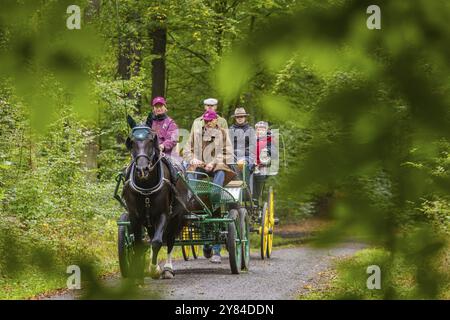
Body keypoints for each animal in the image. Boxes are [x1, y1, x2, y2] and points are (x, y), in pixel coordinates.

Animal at [121, 119, 188, 278]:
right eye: (132, 141)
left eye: (151, 140)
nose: (142, 169)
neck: (146, 187)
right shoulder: (134, 216)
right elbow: (139, 244)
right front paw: (139, 271)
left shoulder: (163, 214)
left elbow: (158, 242)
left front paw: (154, 269)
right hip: (149, 221)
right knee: (151, 238)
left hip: (176, 217)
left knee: (169, 240)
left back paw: (168, 268)